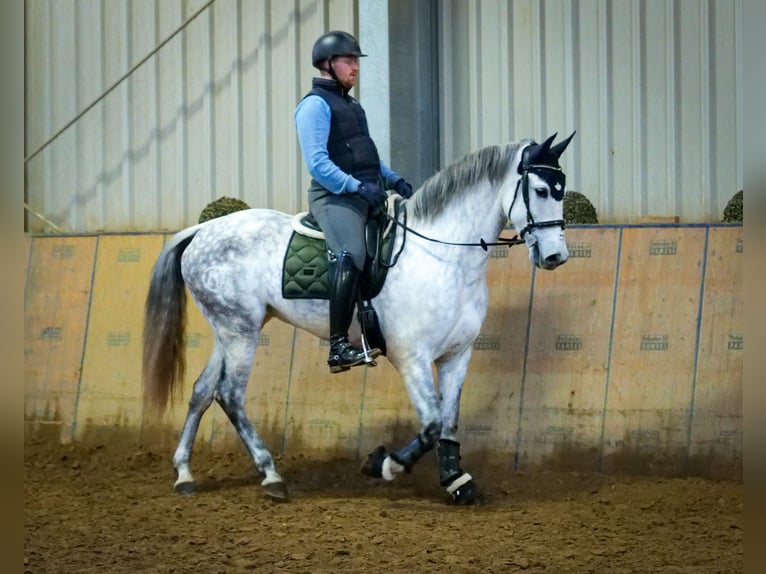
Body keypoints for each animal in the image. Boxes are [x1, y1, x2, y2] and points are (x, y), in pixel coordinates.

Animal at [144, 133, 576, 506]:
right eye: (541, 191)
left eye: (562, 189)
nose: (556, 257)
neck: (444, 256)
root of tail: (203, 230)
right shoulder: (412, 358)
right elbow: (432, 424)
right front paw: (384, 464)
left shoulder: (457, 354)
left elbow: (449, 423)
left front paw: (456, 481)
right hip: (241, 332)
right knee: (230, 395)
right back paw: (271, 476)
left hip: (231, 330)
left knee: (203, 391)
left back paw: (185, 474)